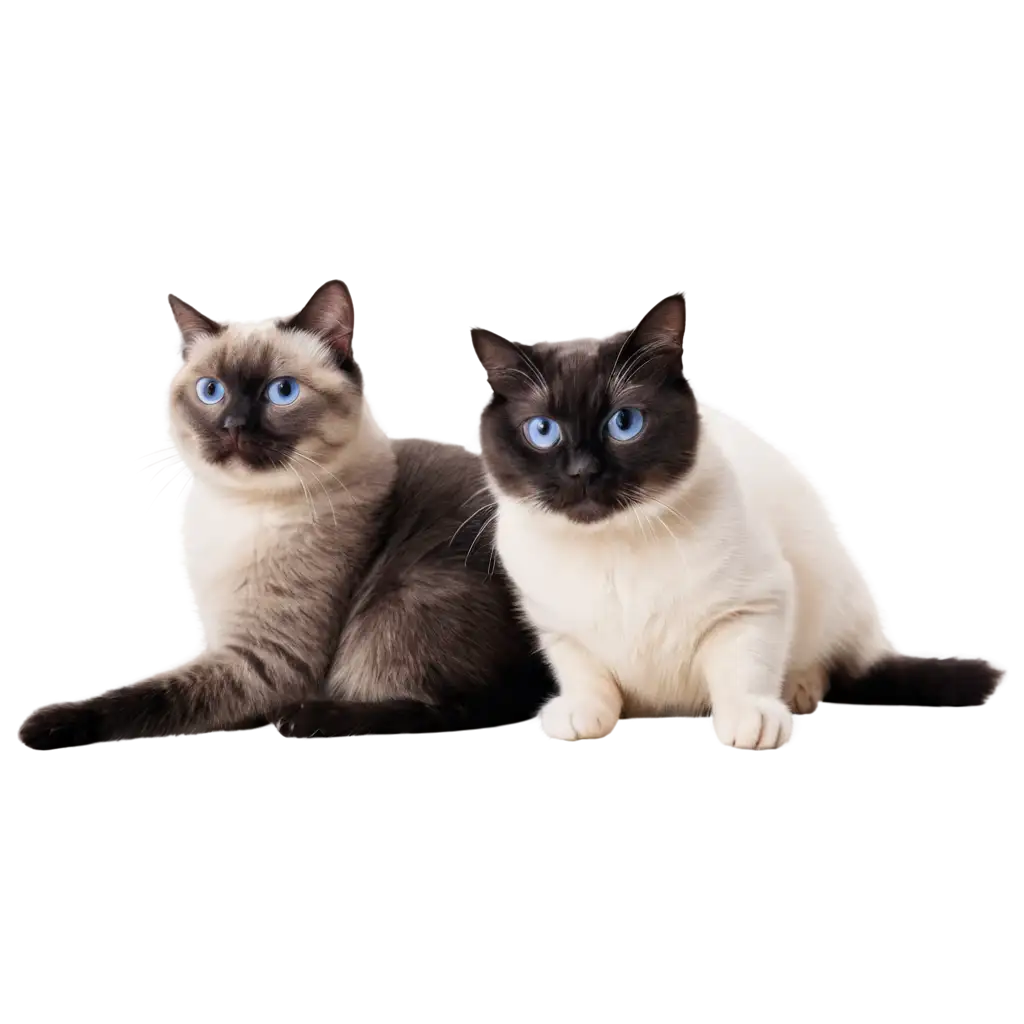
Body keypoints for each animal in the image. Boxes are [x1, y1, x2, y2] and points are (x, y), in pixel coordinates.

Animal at [16, 280, 557, 753]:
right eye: (211, 391)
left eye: (281, 392)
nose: (234, 425)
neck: (238, 509)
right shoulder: (225, 643)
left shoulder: (267, 661)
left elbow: (149, 696)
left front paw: (47, 725)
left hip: (407, 597)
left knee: (445, 710)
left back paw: (308, 720)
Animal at [468, 292, 1003, 749]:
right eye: (543, 431)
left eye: (624, 424)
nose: (582, 472)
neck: (612, 548)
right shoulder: (556, 627)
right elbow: (584, 670)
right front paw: (581, 711)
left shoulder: (753, 604)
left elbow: (742, 666)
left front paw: (750, 718)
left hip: (835, 590)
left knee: (834, 660)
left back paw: (801, 687)